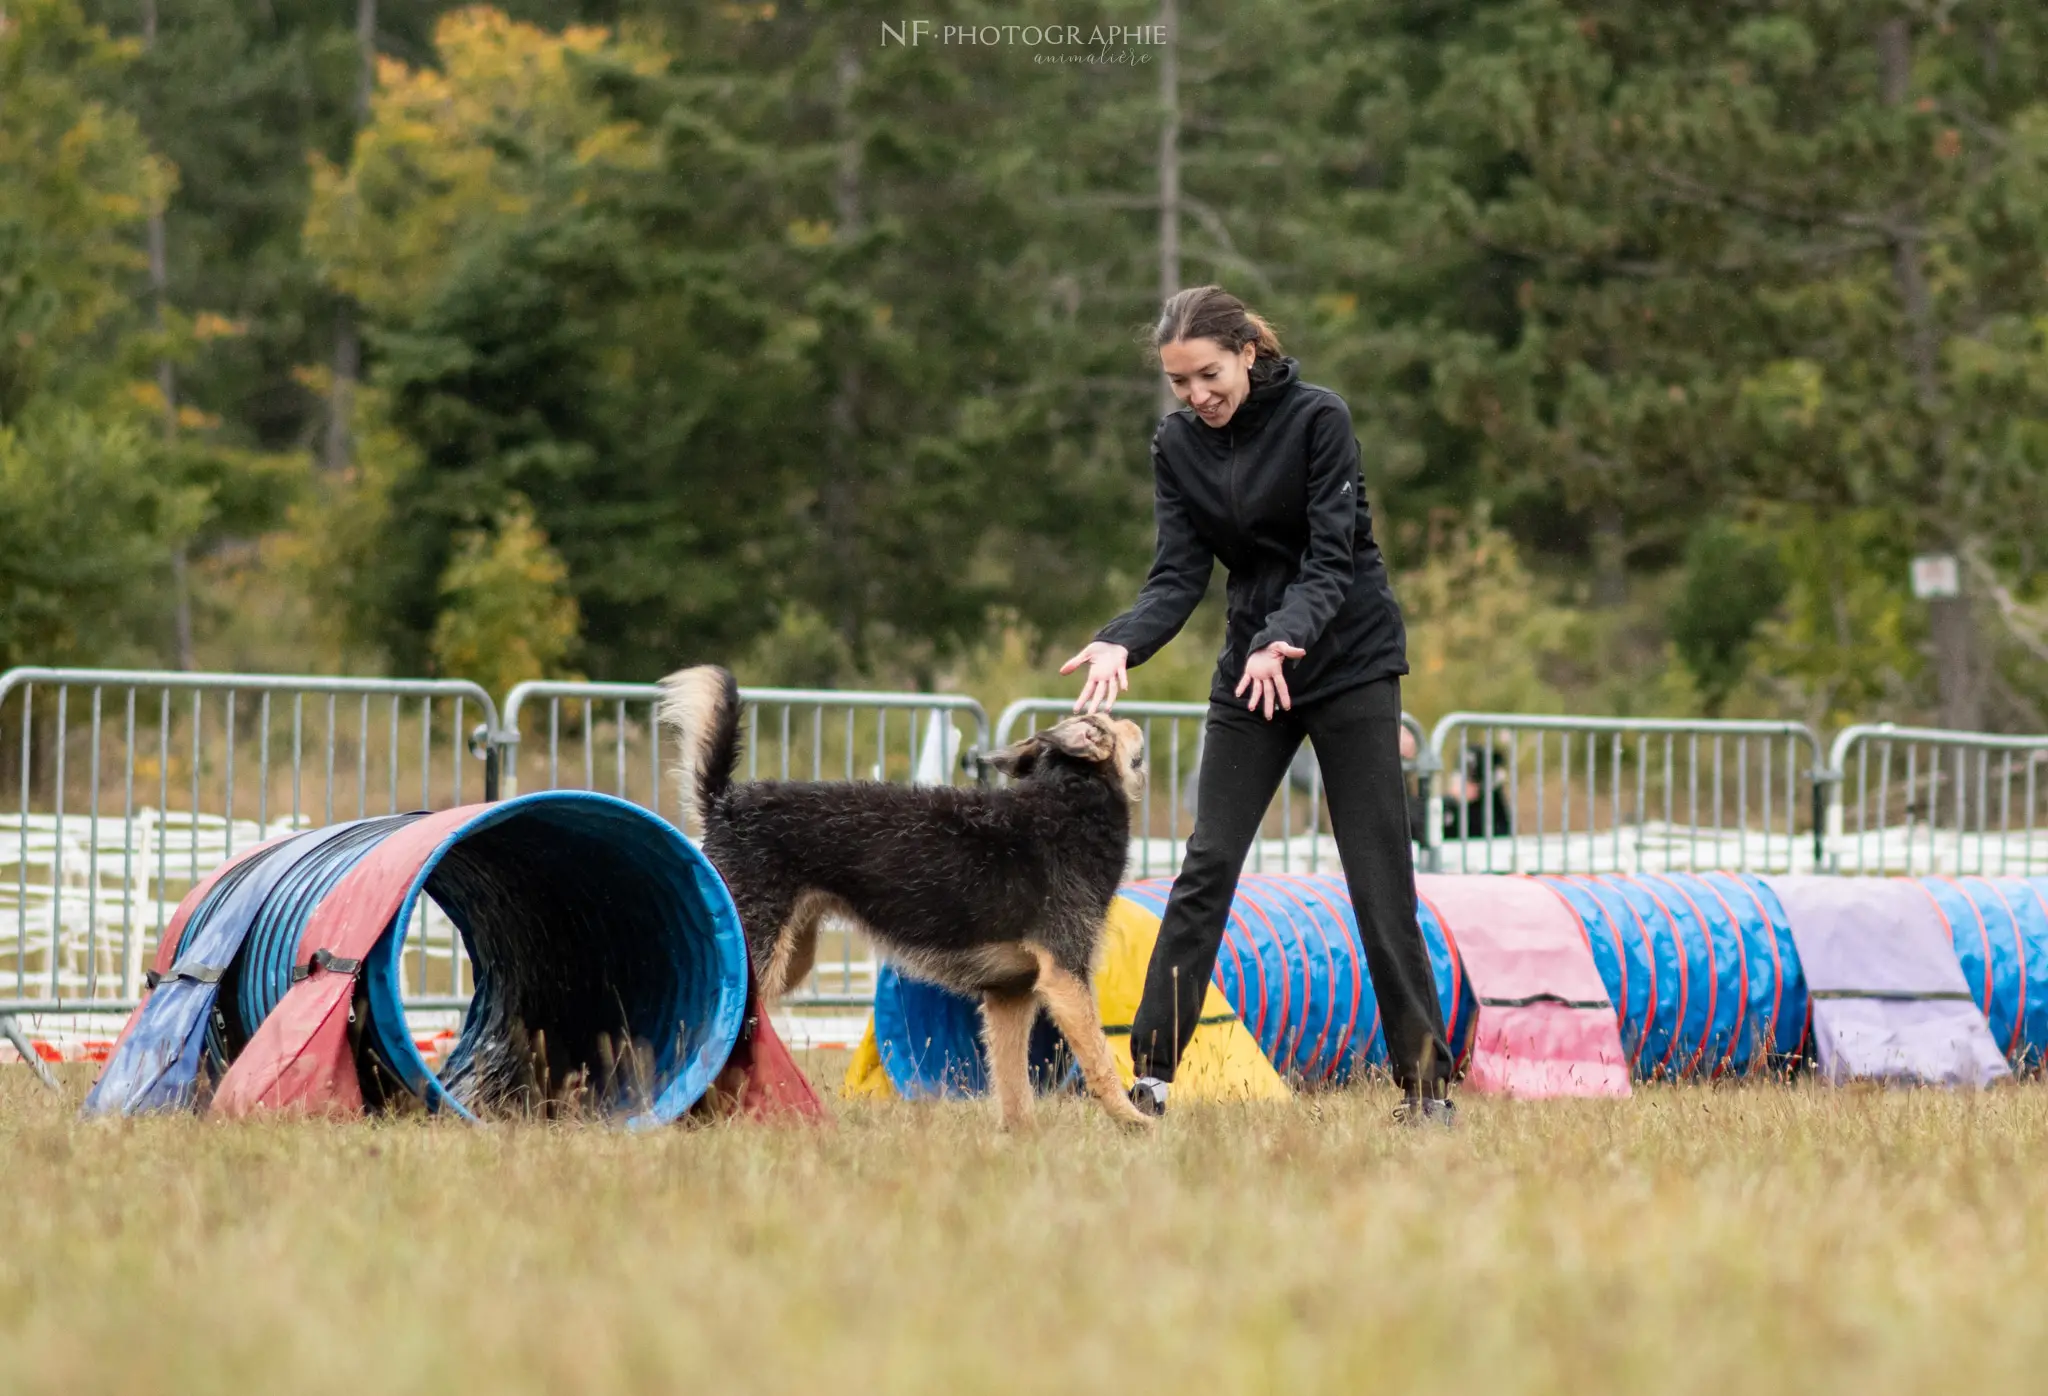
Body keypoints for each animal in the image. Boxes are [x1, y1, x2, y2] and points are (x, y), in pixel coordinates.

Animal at [663, 659, 1163, 1121]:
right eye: (1109, 720)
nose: (1133, 716)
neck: (1067, 805)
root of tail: (726, 803)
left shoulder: (1011, 994)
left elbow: (1014, 1088)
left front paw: (1024, 1139)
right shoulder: (1066, 977)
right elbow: (1099, 1060)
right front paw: (1134, 1122)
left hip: (789, 959)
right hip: (760, 954)